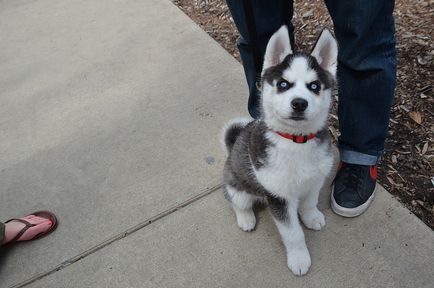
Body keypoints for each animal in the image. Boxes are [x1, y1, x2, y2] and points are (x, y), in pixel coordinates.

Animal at [222, 27, 338, 276]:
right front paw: (299, 258)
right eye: (283, 84)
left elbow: (310, 202)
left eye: (314, 86)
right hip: (238, 188)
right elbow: (293, 233)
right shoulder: (279, 196)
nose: (299, 103)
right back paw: (246, 218)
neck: (297, 141)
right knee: (237, 202)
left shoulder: (315, 180)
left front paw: (311, 216)